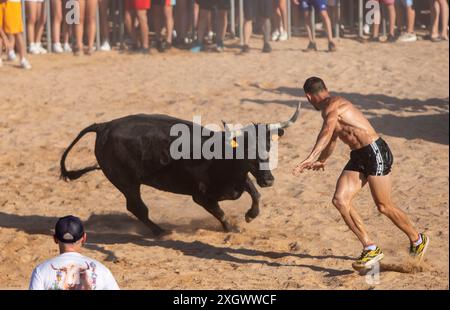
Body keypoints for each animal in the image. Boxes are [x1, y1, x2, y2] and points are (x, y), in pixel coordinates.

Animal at [59, 103, 298, 236]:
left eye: (269, 146)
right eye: (246, 150)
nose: (268, 180)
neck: (220, 157)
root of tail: (104, 126)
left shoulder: (240, 179)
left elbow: (255, 194)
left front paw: (250, 215)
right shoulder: (200, 197)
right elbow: (220, 212)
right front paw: (231, 229)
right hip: (126, 182)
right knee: (137, 208)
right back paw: (161, 232)